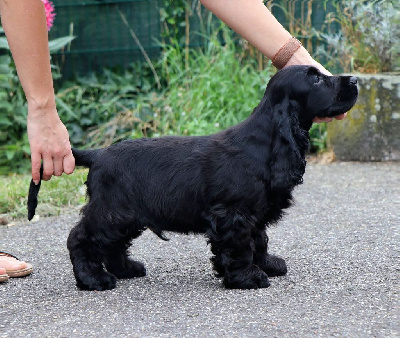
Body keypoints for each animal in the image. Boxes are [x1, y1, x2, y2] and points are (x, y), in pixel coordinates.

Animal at [28, 65, 360, 290]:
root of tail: (98, 154)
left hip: (126, 216)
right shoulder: (232, 213)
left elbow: (259, 239)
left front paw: (266, 264)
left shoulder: (253, 213)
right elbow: (239, 246)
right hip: (112, 211)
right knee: (80, 238)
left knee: (111, 244)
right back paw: (93, 279)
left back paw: (126, 268)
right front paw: (247, 277)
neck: (265, 142)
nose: (356, 79)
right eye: (315, 79)